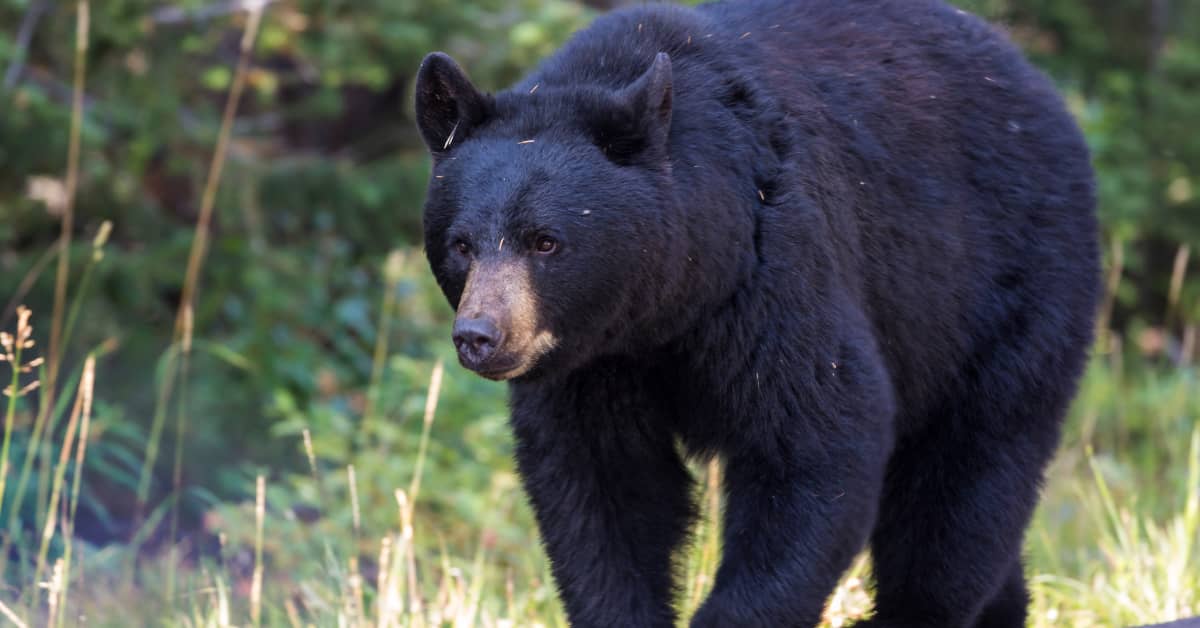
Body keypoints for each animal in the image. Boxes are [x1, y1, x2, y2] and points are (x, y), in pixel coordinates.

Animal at [417, 0, 1099, 624]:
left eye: (546, 241)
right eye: (461, 244)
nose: (480, 335)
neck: (665, 310)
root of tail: (1036, 80)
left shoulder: (775, 274)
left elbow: (817, 443)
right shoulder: (592, 367)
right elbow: (601, 491)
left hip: (1004, 294)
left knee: (960, 491)